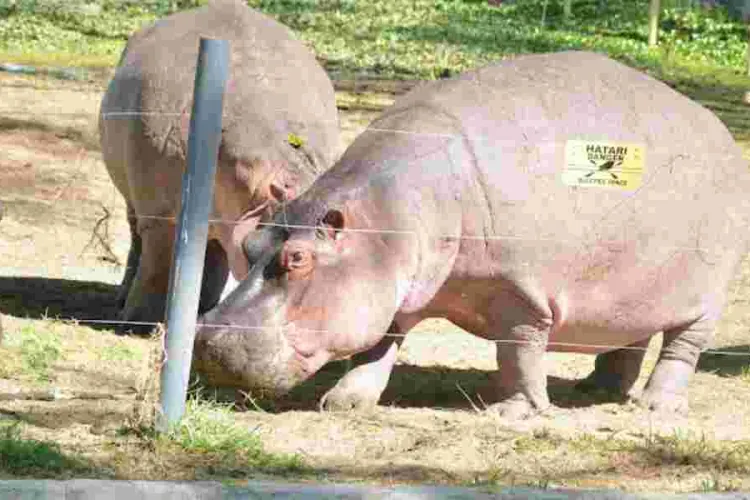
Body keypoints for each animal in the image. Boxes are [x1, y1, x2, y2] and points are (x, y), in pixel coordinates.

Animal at [98, 0, 340, 332]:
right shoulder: (159, 213)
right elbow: (157, 265)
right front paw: (138, 323)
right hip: (136, 200)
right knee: (139, 241)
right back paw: (126, 304)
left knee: (211, 254)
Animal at [192, 51, 750, 418]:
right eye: (250, 244)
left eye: (298, 260)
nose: (209, 341)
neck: (384, 219)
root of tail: (720, 131)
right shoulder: (395, 288)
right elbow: (380, 344)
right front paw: (346, 402)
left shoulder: (521, 294)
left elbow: (519, 351)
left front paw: (515, 414)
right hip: (632, 289)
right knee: (629, 339)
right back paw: (596, 393)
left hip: (706, 299)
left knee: (680, 348)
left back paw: (657, 408)